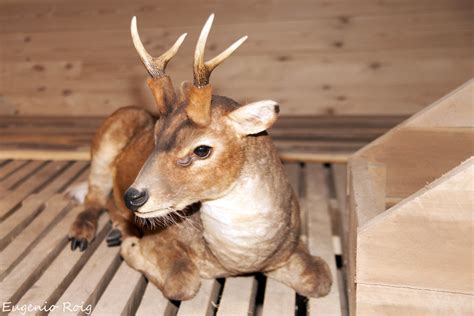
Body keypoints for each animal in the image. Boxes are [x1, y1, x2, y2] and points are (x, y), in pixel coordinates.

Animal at [68, 14, 332, 302]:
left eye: (202, 149)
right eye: (156, 135)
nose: (133, 197)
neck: (240, 260)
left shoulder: (291, 246)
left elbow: (320, 278)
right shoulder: (164, 241)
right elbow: (181, 281)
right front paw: (130, 245)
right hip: (109, 135)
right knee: (94, 195)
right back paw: (82, 236)